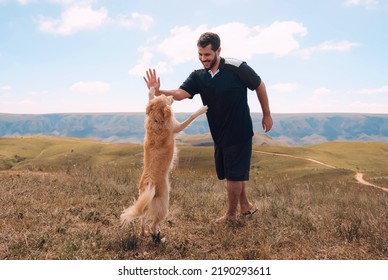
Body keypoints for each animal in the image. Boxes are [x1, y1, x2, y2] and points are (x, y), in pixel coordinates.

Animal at [120, 87, 209, 243]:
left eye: (162, 95)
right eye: (167, 99)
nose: (172, 96)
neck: (157, 119)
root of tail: (148, 185)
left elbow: (149, 98)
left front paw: (151, 90)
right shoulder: (177, 126)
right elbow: (191, 117)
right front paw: (202, 109)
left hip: (144, 203)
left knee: (143, 219)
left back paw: (143, 233)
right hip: (164, 206)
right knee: (153, 225)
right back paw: (159, 238)